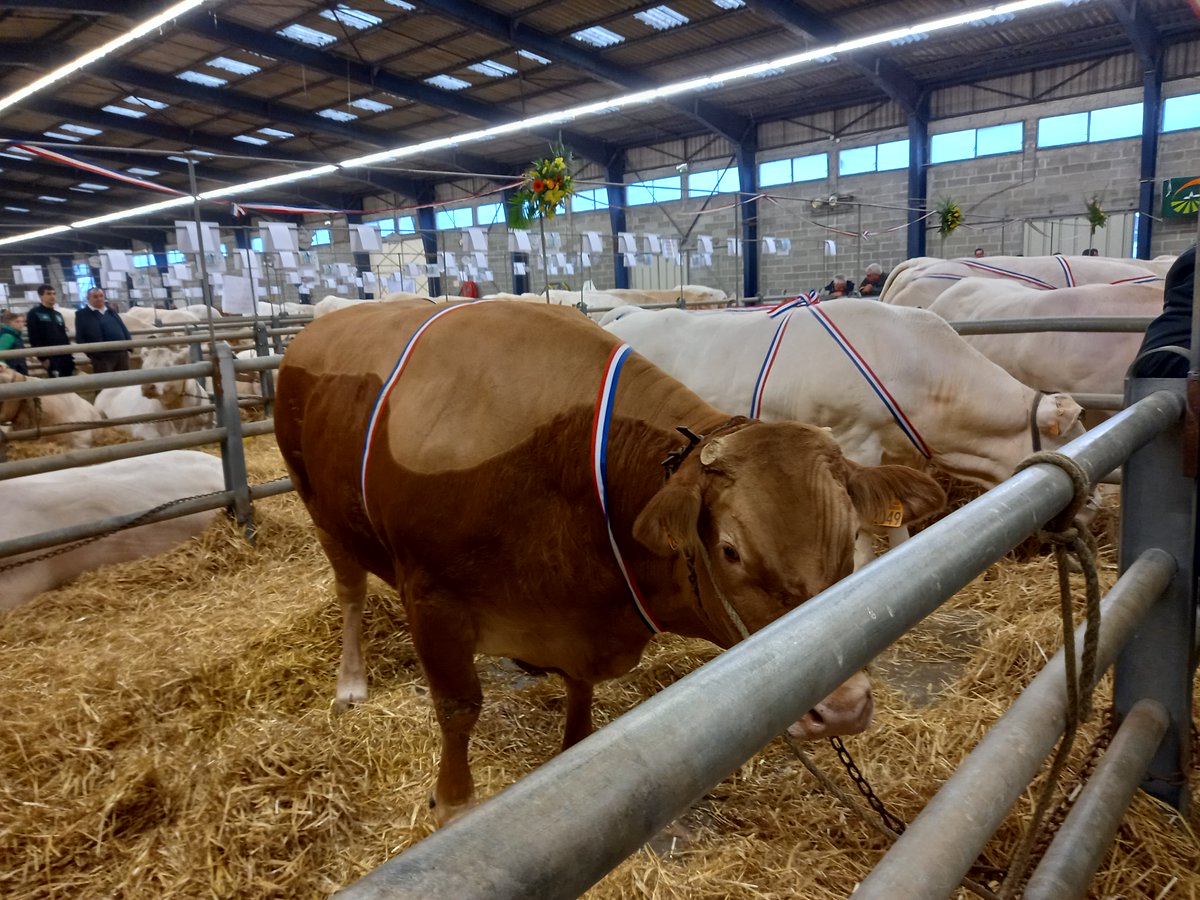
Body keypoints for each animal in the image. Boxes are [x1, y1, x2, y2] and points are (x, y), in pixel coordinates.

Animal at [274, 300, 945, 830]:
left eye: (849, 537)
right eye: (730, 550)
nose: (845, 707)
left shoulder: (582, 624)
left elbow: (579, 698)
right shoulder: (433, 599)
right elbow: (459, 708)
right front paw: (455, 805)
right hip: (323, 513)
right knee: (351, 591)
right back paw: (351, 682)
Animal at [604, 303, 1084, 566]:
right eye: (1068, 438)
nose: (1092, 505)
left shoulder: (897, 455)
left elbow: (898, 524)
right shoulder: (857, 442)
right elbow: (864, 530)